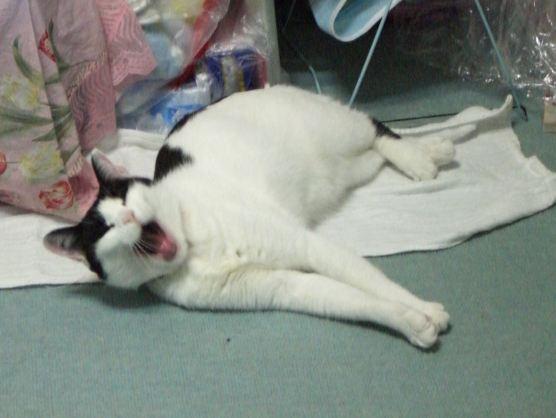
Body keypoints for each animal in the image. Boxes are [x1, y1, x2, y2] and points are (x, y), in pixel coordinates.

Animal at [45, 85, 473, 348]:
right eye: (106, 229)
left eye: (123, 196)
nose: (130, 214)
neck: (194, 248)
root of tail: (266, 86)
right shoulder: (285, 286)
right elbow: (354, 299)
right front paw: (413, 322)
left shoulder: (306, 243)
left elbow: (374, 282)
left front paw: (424, 308)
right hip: (344, 172)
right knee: (376, 152)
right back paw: (431, 152)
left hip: (336, 130)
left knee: (377, 127)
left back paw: (423, 156)